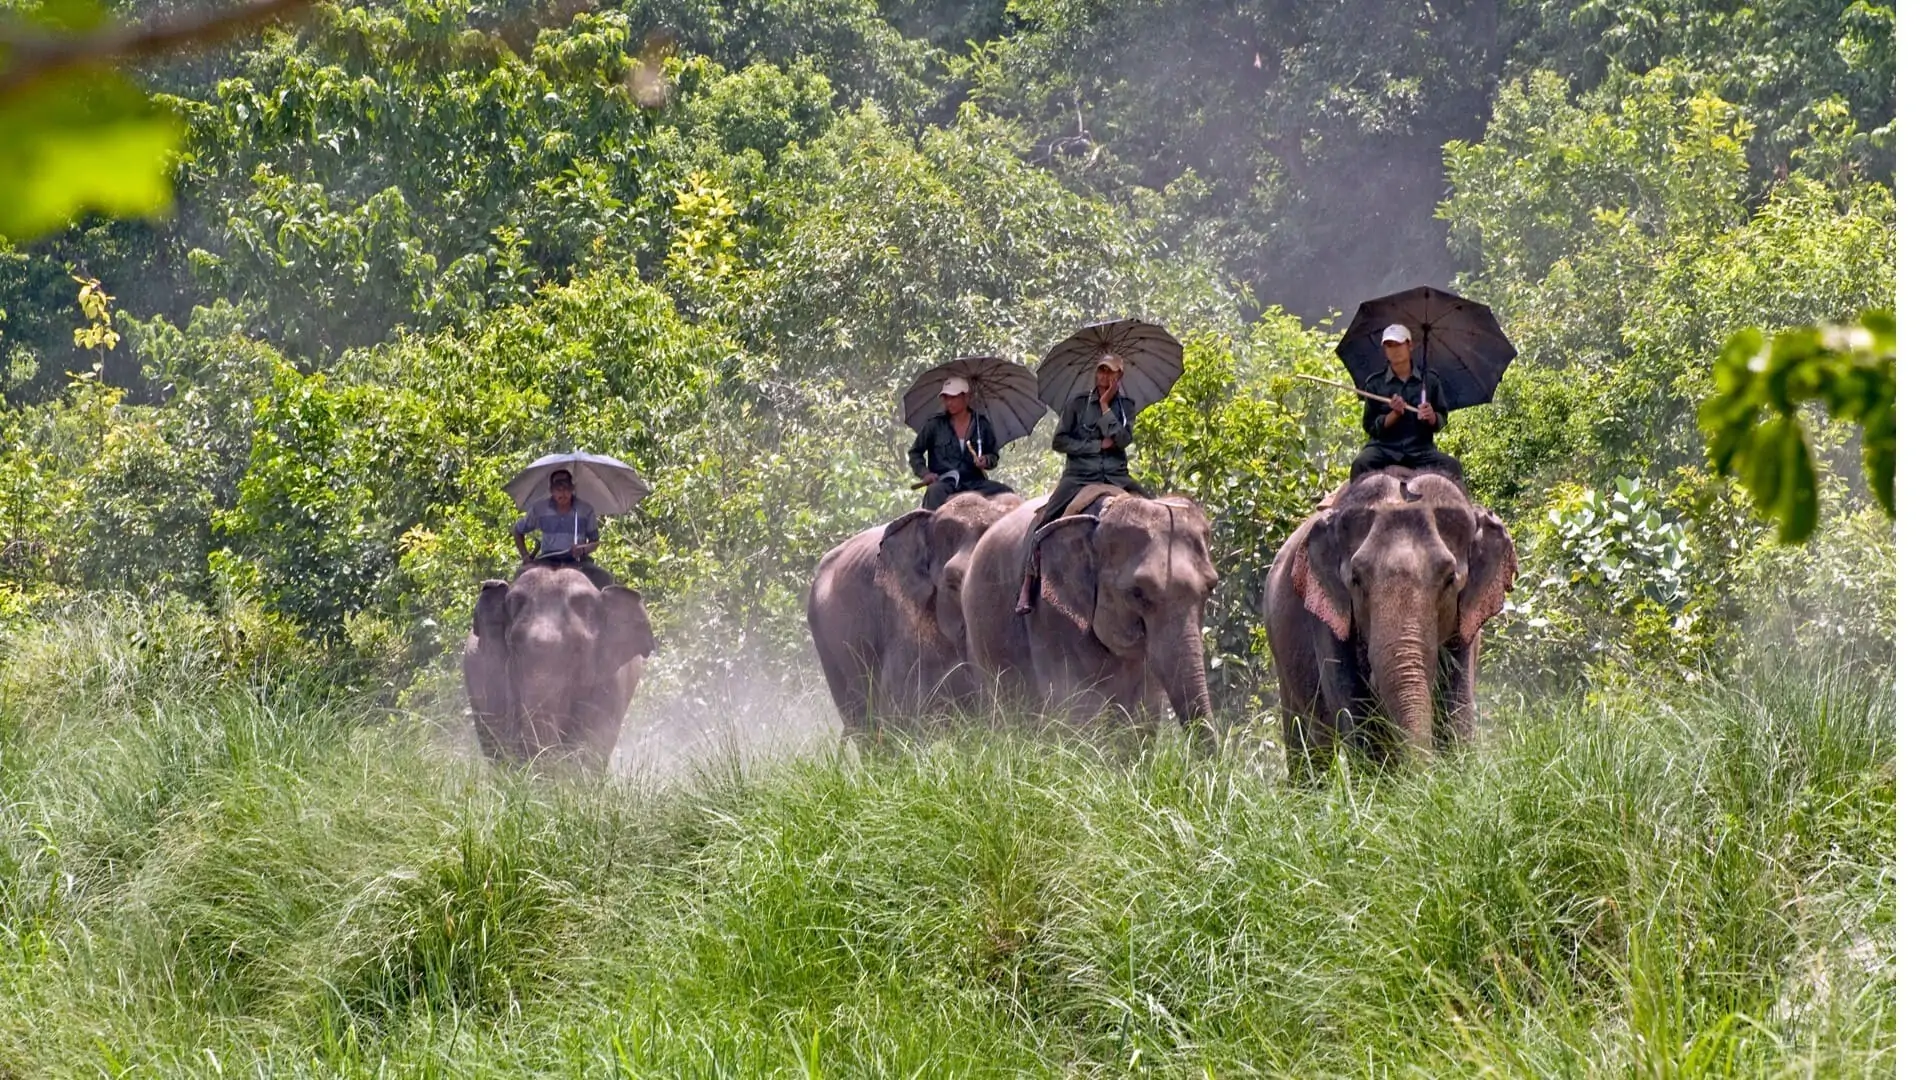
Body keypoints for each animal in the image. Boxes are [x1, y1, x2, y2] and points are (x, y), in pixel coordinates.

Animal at [1263, 467, 1515, 765]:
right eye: (1356, 580)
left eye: (1450, 579)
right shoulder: (1326, 621)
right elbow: (1356, 713)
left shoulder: (1466, 624)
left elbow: (1457, 705)